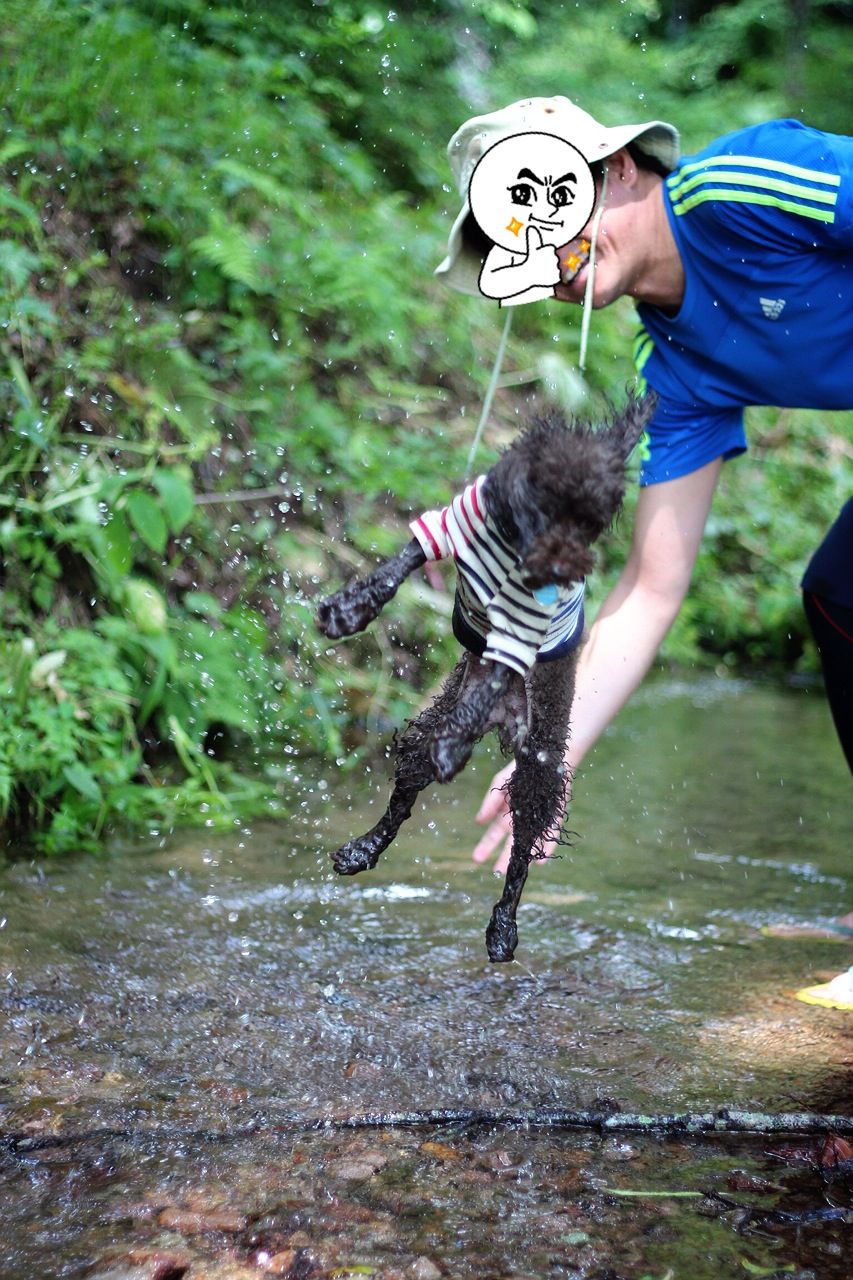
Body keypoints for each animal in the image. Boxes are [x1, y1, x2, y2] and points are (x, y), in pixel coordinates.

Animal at [315, 389, 653, 962]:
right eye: (551, 508)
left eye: (593, 522)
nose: (567, 570)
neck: (516, 546)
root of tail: (505, 723)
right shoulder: (455, 521)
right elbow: (402, 562)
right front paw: (350, 610)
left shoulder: (523, 625)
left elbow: (500, 663)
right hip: (424, 739)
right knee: (404, 796)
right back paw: (364, 847)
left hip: (538, 765)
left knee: (521, 848)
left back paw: (503, 926)